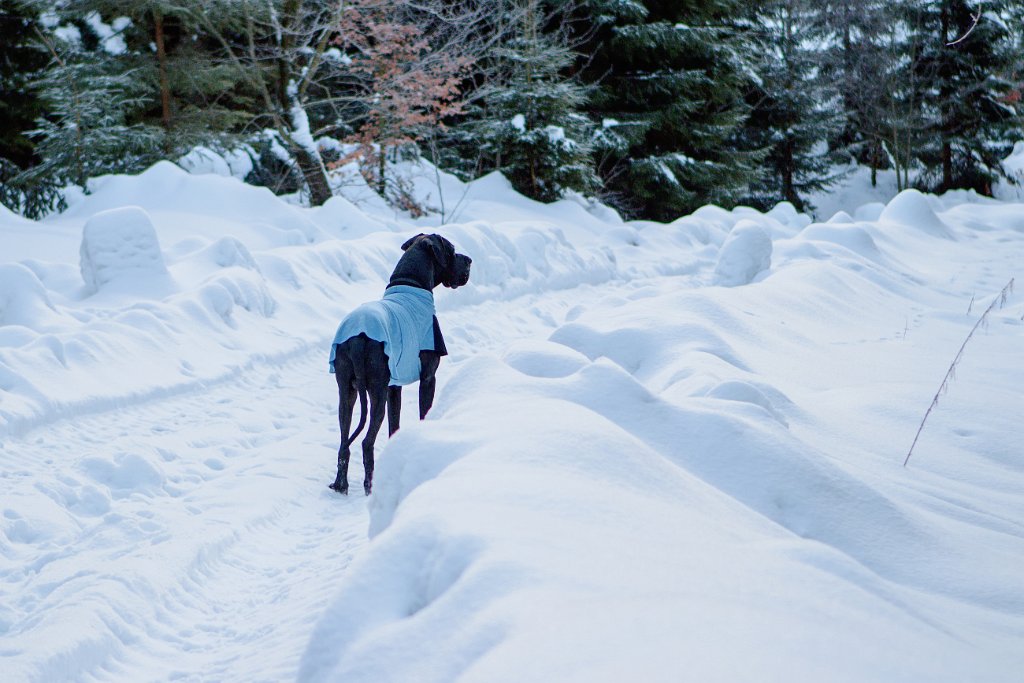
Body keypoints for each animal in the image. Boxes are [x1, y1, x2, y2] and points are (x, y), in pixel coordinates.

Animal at [327, 232, 471, 493]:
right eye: (452, 250)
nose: (469, 260)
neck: (411, 284)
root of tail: (359, 338)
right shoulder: (428, 378)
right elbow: (423, 413)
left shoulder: (394, 388)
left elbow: (394, 426)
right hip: (376, 392)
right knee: (366, 442)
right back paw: (370, 486)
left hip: (347, 391)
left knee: (344, 440)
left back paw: (341, 484)